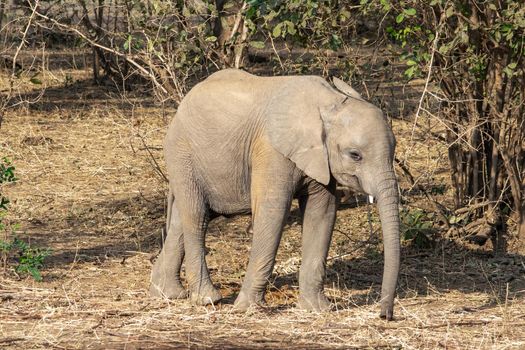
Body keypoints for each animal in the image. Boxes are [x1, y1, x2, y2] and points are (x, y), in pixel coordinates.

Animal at [149, 68, 400, 320]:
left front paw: (317, 309)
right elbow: (273, 212)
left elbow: (322, 213)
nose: (385, 316)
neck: (330, 101)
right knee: (197, 217)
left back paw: (167, 293)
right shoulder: (271, 151)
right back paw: (208, 299)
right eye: (355, 155)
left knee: (184, 220)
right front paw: (248, 309)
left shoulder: (321, 159)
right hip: (182, 154)